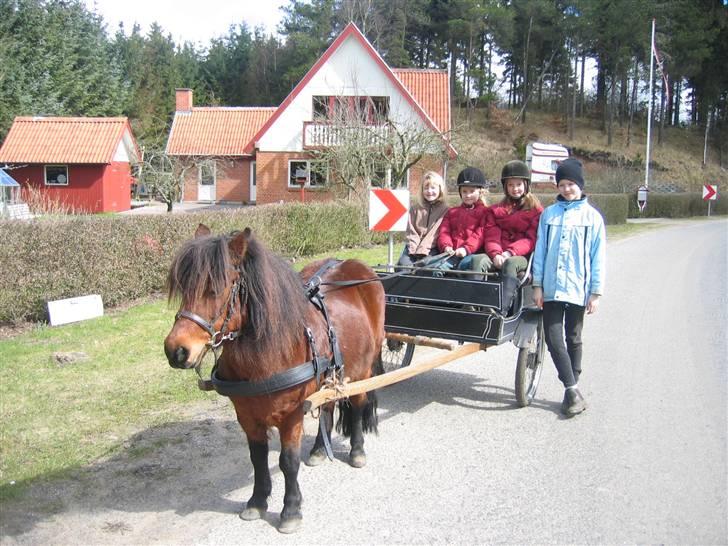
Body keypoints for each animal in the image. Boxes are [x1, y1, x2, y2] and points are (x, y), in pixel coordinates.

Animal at [164, 222, 386, 532]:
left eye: (215, 288)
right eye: (184, 287)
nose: (176, 350)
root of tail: (354, 265)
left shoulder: (291, 415)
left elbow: (287, 461)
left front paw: (290, 510)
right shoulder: (247, 415)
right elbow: (257, 459)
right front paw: (257, 502)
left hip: (363, 370)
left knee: (357, 406)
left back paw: (356, 450)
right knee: (327, 406)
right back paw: (320, 449)